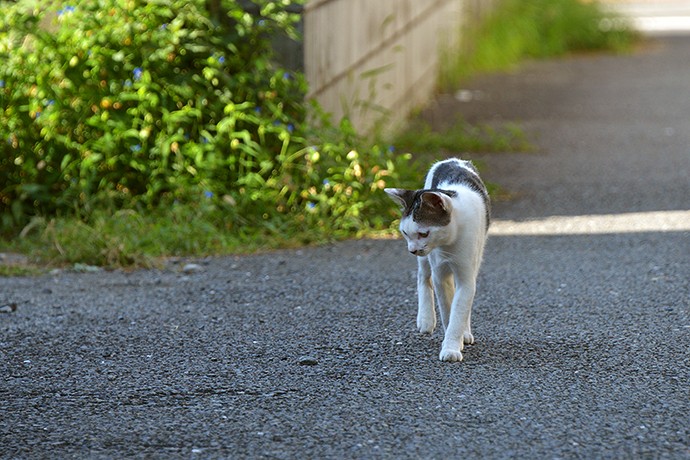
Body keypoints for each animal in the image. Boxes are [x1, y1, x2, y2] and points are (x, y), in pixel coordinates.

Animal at [382, 159, 490, 362]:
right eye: (405, 233)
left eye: (424, 233)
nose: (412, 250)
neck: (449, 242)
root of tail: (453, 159)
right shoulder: (440, 275)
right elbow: (448, 312)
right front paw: (452, 342)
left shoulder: (466, 274)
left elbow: (460, 307)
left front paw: (454, 343)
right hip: (426, 261)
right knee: (423, 277)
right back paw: (426, 319)